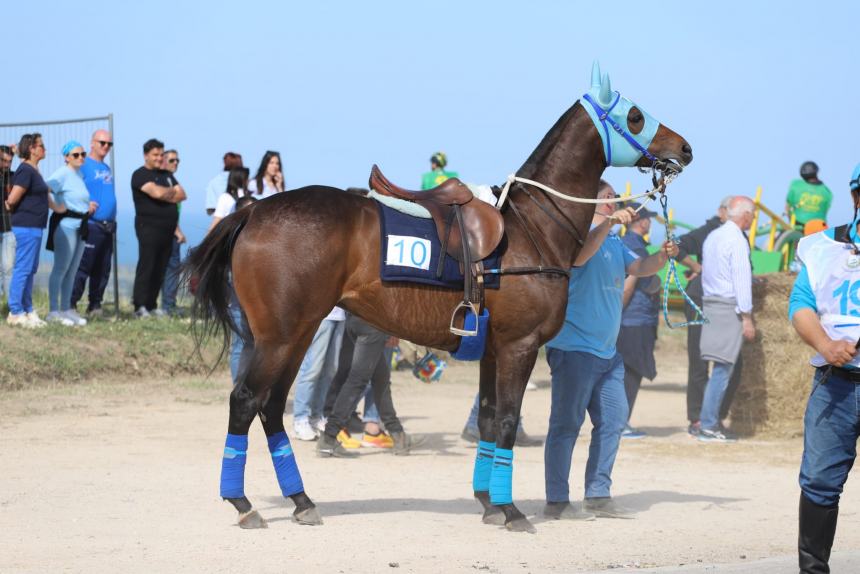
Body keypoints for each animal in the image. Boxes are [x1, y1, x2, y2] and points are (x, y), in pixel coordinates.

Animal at [186, 64, 692, 536]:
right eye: (635, 114)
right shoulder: (520, 346)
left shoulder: (491, 350)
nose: (684, 147)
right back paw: (243, 503)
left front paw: (488, 502)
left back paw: (300, 500)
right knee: (246, 401)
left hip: (296, 333)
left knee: (270, 407)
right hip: (280, 337)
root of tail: (255, 210)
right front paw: (510, 510)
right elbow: (506, 421)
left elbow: (487, 420)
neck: (531, 228)